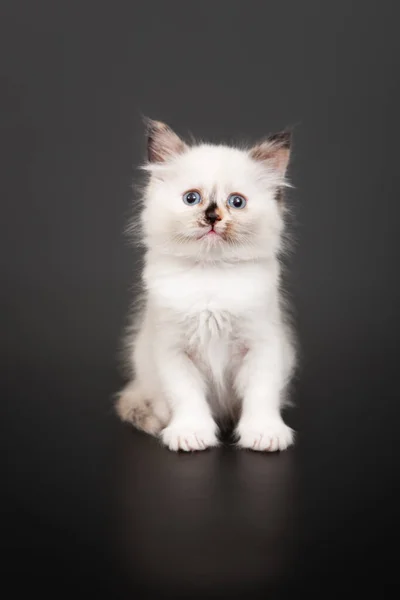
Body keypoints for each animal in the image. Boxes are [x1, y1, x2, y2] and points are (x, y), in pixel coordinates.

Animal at [115, 119, 296, 452]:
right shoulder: (173, 349)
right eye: (192, 198)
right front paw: (190, 434)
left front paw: (264, 434)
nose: (212, 216)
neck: (211, 276)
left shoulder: (262, 344)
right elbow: (186, 396)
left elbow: (261, 394)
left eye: (236, 202)